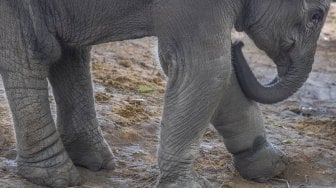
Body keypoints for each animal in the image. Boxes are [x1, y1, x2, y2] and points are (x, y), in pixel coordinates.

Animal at [0, 0, 330, 188]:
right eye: (316, 15)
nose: (239, 44)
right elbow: (207, 67)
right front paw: (187, 185)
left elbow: (217, 74)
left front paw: (271, 167)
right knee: (30, 57)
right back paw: (54, 176)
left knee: (70, 54)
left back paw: (92, 161)